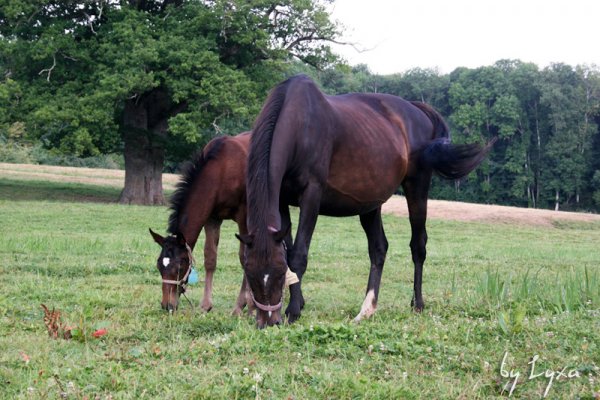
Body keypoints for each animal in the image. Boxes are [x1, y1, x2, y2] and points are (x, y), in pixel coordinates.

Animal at [151, 133, 254, 314]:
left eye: (180, 266)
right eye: (159, 265)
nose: (167, 305)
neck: (222, 168)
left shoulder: (243, 215)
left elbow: (244, 257)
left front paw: (241, 305)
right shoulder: (212, 217)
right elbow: (210, 258)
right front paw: (206, 305)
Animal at [237, 75, 494, 328]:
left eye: (279, 272)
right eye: (249, 272)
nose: (268, 322)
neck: (300, 123)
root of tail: (416, 109)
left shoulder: (312, 194)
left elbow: (298, 254)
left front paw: (293, 311)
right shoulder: (281, 199)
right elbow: (289, 249)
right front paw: (298, 303)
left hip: (417, 186)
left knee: (418, 245)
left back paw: (417, 304)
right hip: (370, 205)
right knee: (379, 249)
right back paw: (367, 309)